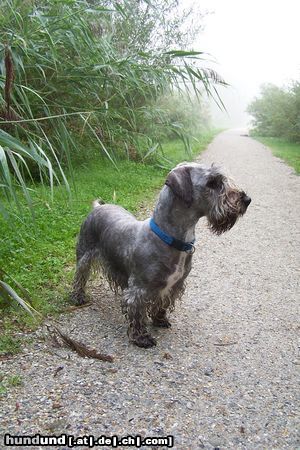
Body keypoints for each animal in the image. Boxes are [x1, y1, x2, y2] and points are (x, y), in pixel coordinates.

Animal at [71, 162, 251, 348]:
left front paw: (159, 320)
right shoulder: (139, 290)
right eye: (212, 183)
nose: (246, 200)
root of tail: (98, 206)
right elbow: (137, 314)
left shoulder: (174, 286)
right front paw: (141, 337)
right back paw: (78, 298)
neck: (169, 239)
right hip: (84, 255)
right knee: (80, 277)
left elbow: (162, 305)